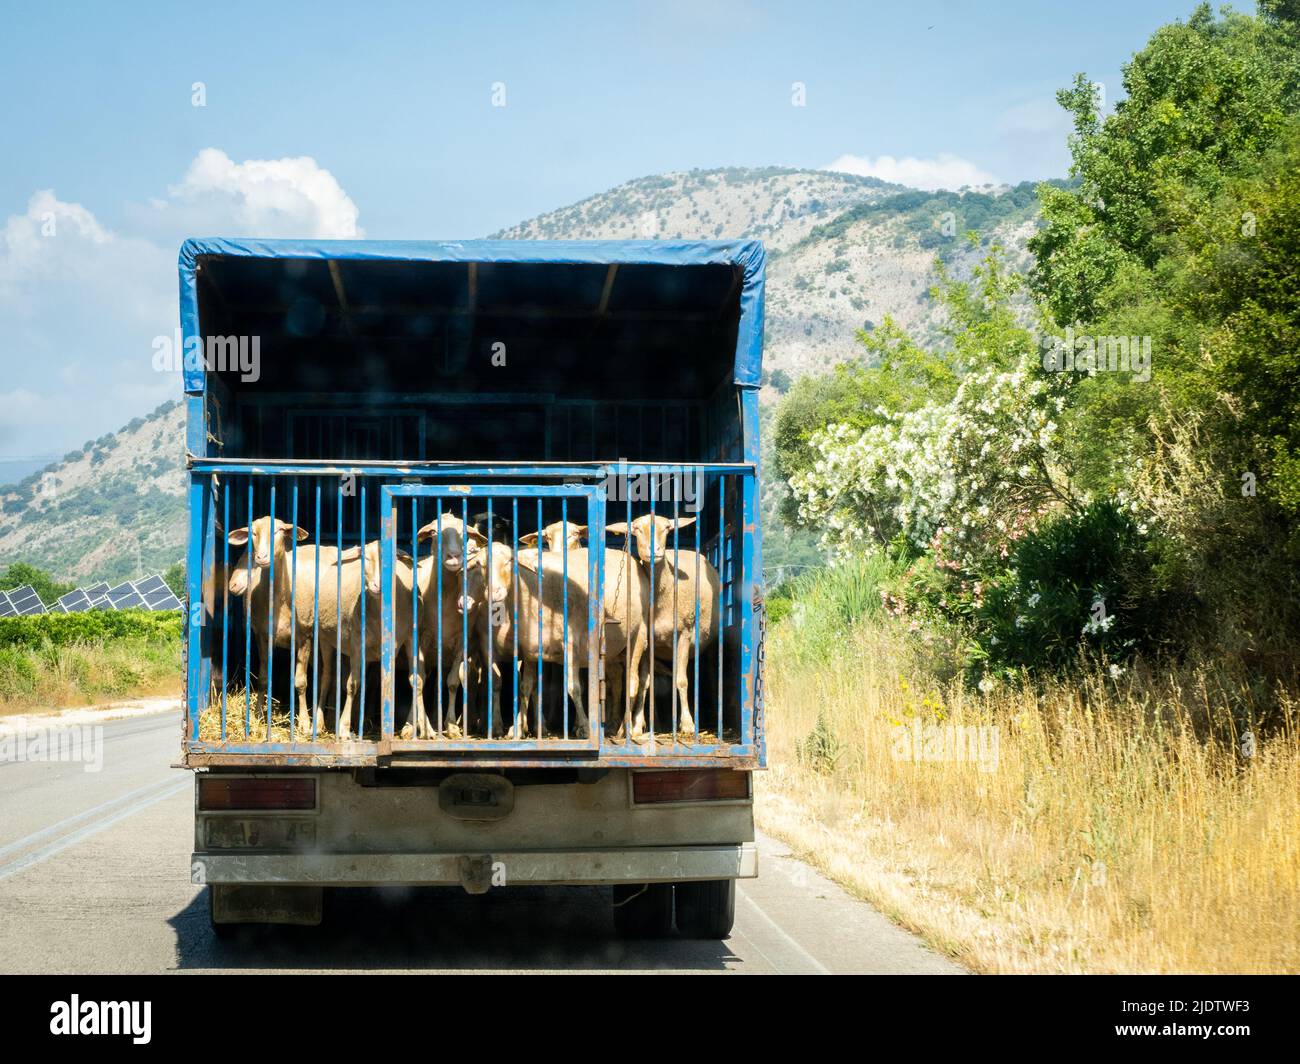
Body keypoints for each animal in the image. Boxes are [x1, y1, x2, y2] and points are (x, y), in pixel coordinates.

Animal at [606, 514, 720, 737]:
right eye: (636, 529)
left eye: (667, 528)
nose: (655, 550)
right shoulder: (648, 641)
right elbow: (644, 682)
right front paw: (637, 725)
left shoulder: (684, 633)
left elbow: (682, 680)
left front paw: (687, 725)